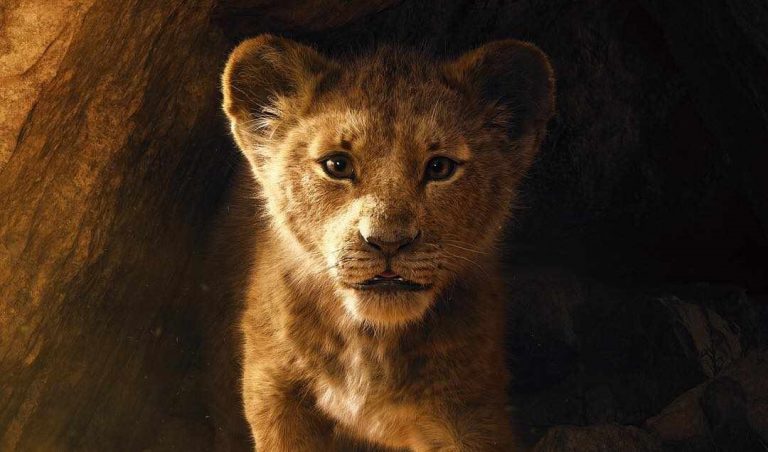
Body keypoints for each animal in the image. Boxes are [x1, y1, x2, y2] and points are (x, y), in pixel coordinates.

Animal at [220, 34, 555, 451]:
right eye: (337, 165)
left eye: (440, 167)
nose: (388, 242)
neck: (370, 345)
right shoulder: (274, 390)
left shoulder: (471, 410)